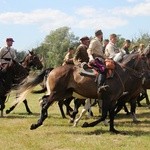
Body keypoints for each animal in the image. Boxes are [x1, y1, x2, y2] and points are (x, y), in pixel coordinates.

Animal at [15, 52, 149, 133]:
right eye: (146, 61)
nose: (147, 76)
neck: (121, 74)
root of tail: (53, 70)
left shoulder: (112, 100)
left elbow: (110, 115)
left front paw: (112, 129)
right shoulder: (106, 99)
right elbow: (103, 115)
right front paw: (86, 124)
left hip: (63, 94)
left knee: (44, 101)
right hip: (56, 94)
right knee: (45, 104)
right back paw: (37, 123)